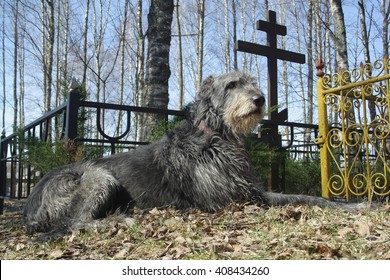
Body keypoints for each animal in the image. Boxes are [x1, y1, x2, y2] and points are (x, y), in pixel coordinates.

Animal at [23, 71, 354, 233]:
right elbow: (300, 200)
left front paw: (352, 204)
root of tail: (31, 206)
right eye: (232, 85)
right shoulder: (235, 200)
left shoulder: (251, 190)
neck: (214, 135)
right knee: (75, 223)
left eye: (252, 82)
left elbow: (309, 197)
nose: (260, 100)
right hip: (98, 177)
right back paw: (117, 220)